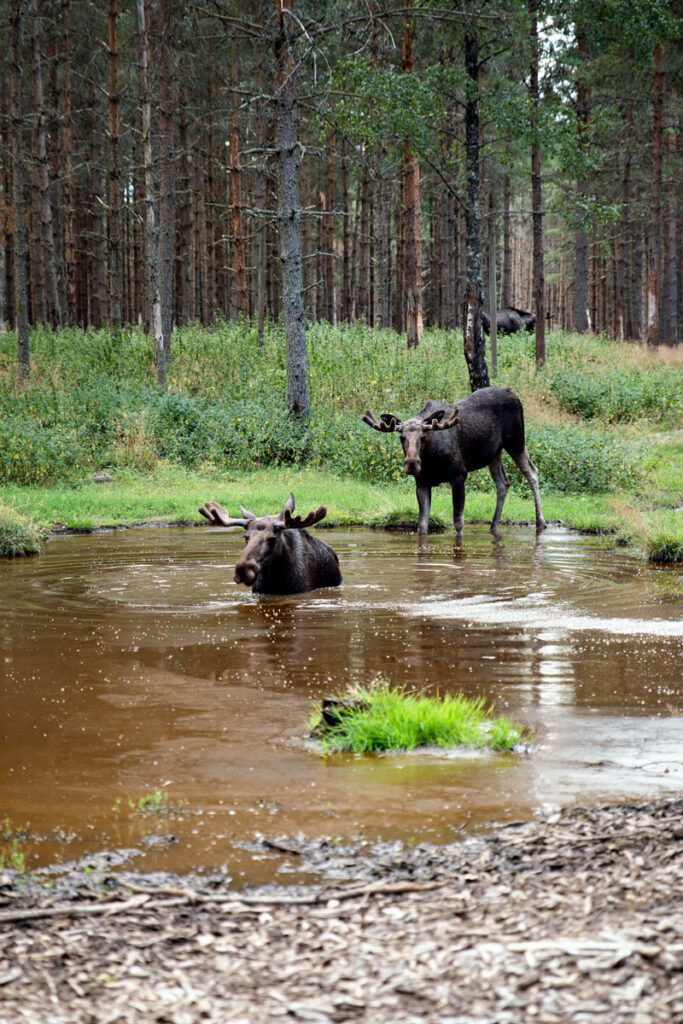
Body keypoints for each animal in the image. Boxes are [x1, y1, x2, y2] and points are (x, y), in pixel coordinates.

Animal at [363, 386, 546, 536]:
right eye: (402, 438)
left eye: (423, 437)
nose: (412, 464)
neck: (431, 460)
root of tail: (513, 393)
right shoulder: (422, 482)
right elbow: (422, 525)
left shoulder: (459, 475)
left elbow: (458, 523)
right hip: (495, 453)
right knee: (503, 483)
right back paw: (494, 526)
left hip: (515, 440)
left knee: (532, 472)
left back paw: (540, 522)